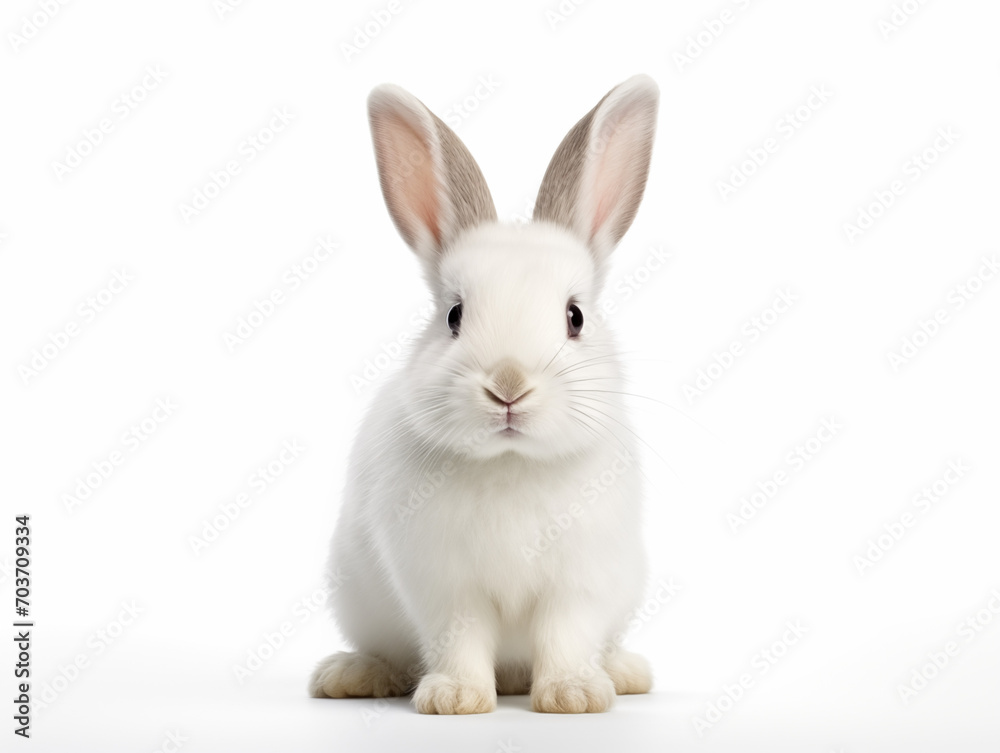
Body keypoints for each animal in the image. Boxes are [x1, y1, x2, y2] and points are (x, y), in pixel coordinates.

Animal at [309, 74, 659, 714]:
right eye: (454, 315)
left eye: (574, 317)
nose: (508, 386)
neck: (511, 463)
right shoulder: (446, 587)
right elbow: (461, 639)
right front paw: (455, 699)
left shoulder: (579, 584)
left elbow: (566, 636)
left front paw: (574, 695)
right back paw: (352, 676)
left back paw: (623, 672)